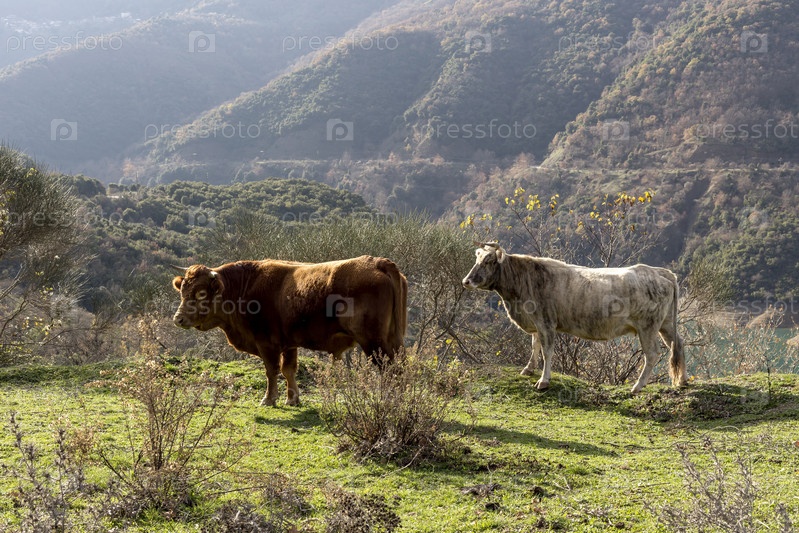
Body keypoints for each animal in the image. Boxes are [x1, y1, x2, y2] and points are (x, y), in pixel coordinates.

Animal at [172, 256, 407, 406]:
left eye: (201, 293)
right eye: (182, 290)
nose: (178, 318)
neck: (243, 288)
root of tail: (378, 262)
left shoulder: (266, 343)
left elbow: (272, 371)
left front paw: (268, 399)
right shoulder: (289, 343)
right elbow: (289, 370)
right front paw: (292, 399)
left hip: (375, 342)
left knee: (390, 369)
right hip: (392, 340)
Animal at [462, 242, 687, 393]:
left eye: (488, 261)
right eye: (476, 259)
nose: (466, 281)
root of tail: (658, 271)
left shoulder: (546, 322)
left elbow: (547, 352)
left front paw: (543, 381)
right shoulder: (535, 322)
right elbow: (534, 346)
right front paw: (528, 369)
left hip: (648, 326)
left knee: (653, 354)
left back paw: (637, 386)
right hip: (666, 324)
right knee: (678, 344)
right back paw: (683, 380)